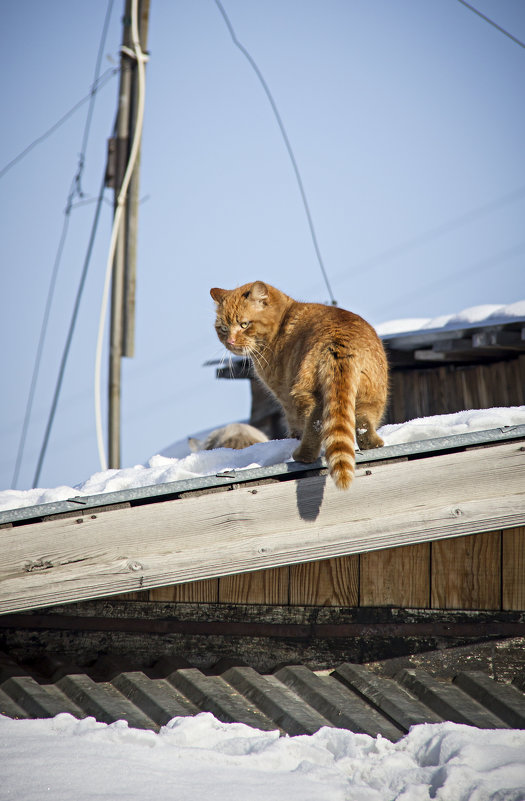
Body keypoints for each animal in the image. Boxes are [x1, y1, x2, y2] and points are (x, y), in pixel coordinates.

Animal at [211, 282, 386, 488]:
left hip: (303, 393)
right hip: (372, 396)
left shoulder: (284, 396)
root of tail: (340, 341)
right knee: (363, 422)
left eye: (244, 324)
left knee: (316, 422)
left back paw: (303, 455)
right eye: (223, 328)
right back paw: (372, 443)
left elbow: (293, 426)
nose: (229, 341)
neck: (281, 324)